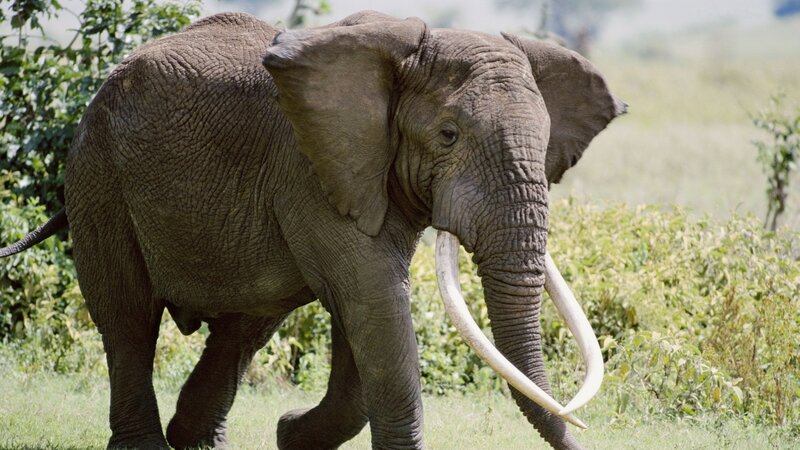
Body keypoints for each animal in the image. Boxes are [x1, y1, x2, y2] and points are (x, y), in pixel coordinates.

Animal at [0, 10, 625, 450]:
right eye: (448, 135)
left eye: (544, 146)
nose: (584, 437)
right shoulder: (312, 167)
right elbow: (375, 302)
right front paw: (292, 432)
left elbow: (365, 317)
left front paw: (288, 434)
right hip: (99, 176)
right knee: (128, 317)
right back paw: (148, 445)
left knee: (245, 326)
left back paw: (196, 441)